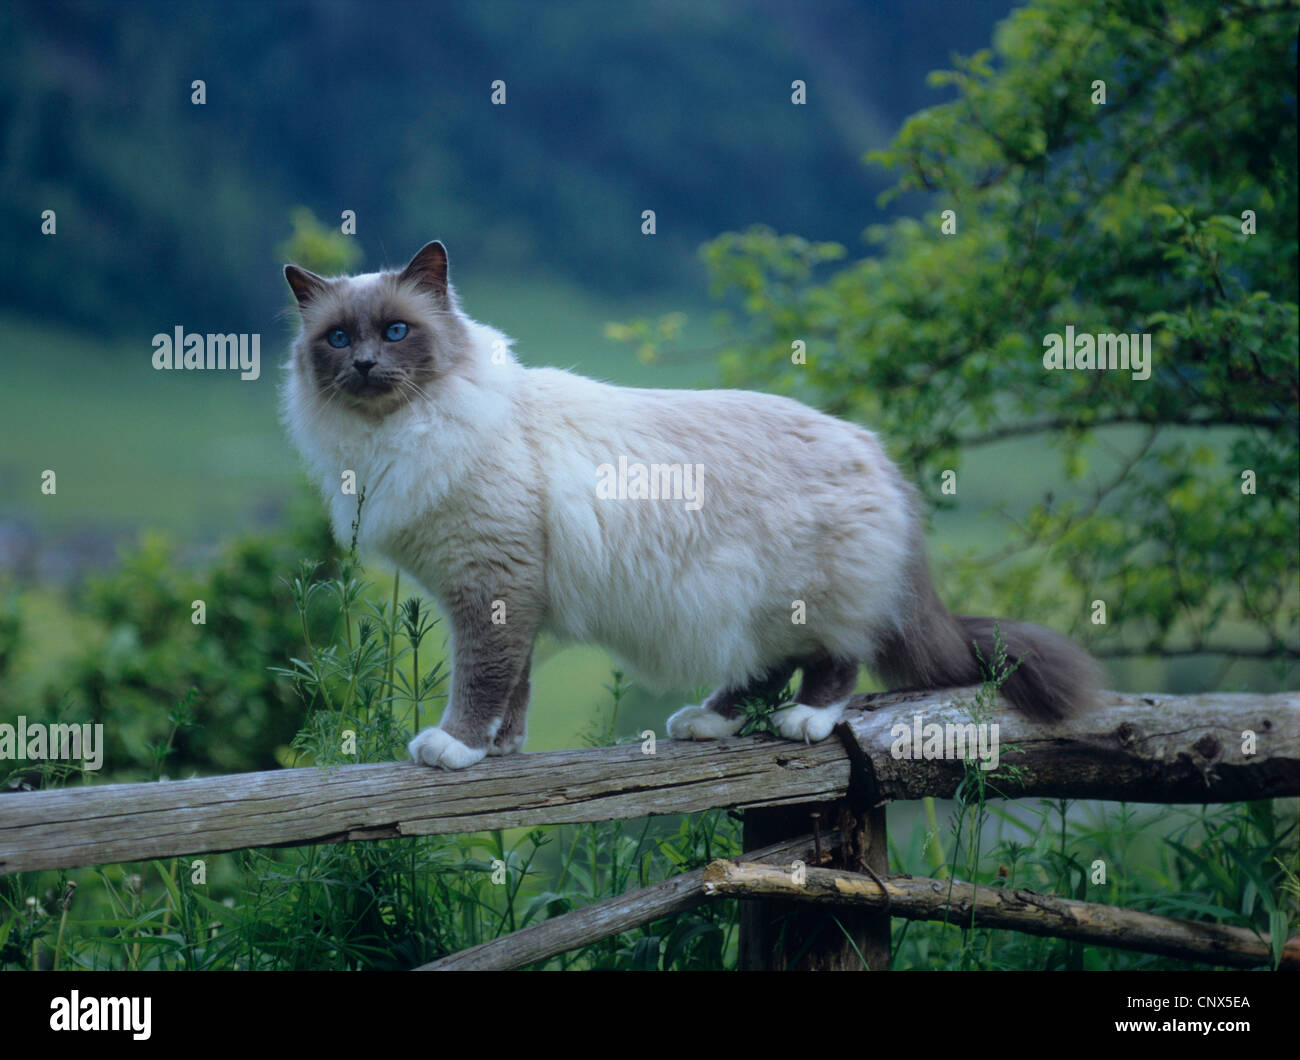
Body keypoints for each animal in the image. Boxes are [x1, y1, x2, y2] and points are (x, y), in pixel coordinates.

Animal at [282, 240, 1097, 769]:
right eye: (338, 339)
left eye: (396, 331)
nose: (365, 365)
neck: (392, 437)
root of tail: (875, 450)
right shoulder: (508, 593)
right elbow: (515, 685)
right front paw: (501, 748)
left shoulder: (490, 588)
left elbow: (482, 678)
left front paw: (454, 745)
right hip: (751, 609)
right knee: (765, 670)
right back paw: (706, 723)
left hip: (800, 597)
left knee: (832, 664)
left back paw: (801, 721)